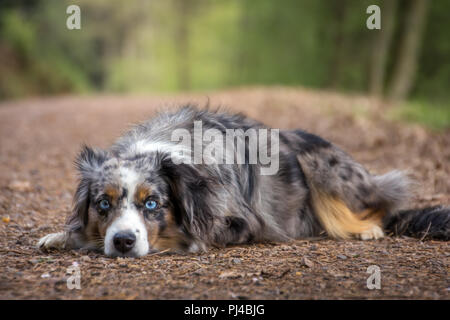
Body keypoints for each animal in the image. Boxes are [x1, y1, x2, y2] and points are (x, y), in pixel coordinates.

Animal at [38, 105, 450, 258]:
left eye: (152, 203)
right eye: (103, 204)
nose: (122, 242)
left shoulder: (246, 221)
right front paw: (60, 236)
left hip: (322, 165)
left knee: (378, 209)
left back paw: (366, 228)